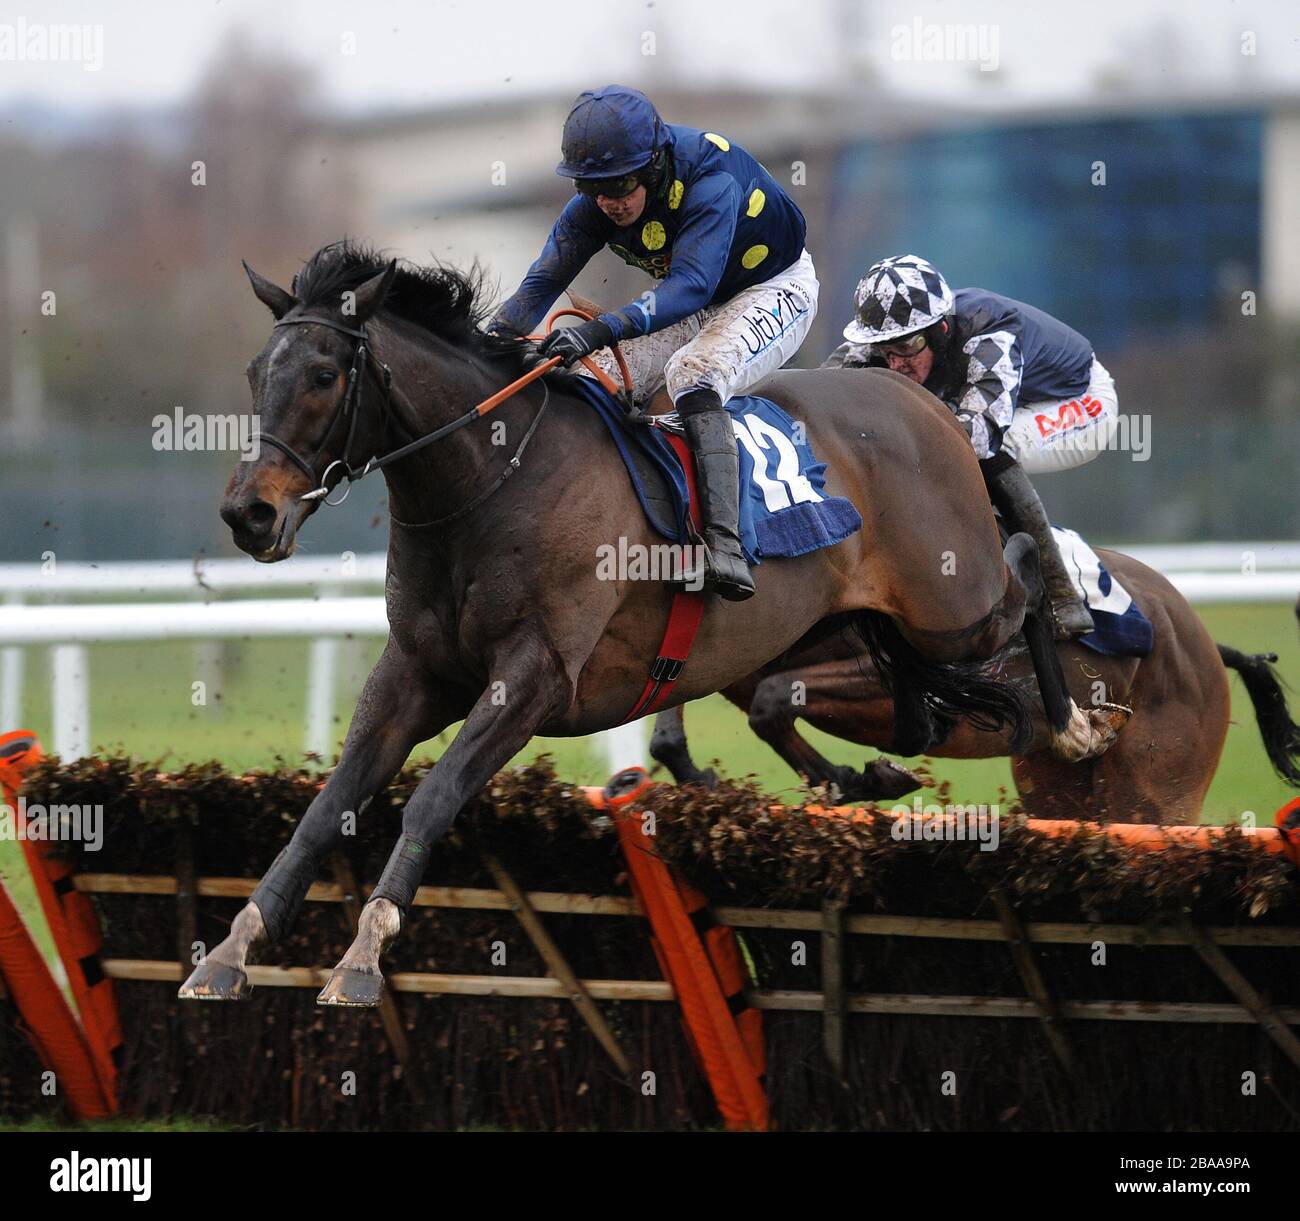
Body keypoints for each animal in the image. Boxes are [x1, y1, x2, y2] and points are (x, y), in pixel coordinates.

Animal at [180, 243, 1128, 1009]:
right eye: (258, 372)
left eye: (324, 376)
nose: (248, 514)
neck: (490, 480)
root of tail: (919, 399)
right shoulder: (416, 670)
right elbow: (328, 804)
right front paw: (230, 951)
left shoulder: (536, 677)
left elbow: (435, 796)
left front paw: (361, 960)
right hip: (872, 620)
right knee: (900, 700)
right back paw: (869, 770)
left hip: (953, 606)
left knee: (1022, 575)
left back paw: (1072, 706)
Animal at [655, 548, 1300, 827]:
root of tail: (1206, 642)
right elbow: (669, 731)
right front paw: (699, 780)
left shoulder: (891, 679)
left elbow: (773, 701)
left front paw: (863, 778)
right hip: (1057, 786)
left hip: (1157, 789)